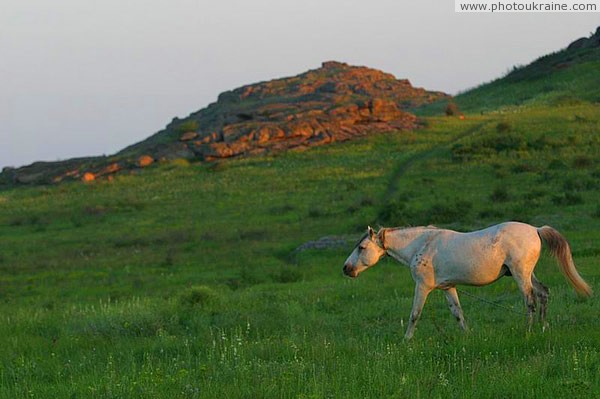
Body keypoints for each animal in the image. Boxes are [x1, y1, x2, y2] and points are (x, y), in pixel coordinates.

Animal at [344, 223, 592, 340]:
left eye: (362, 247)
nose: (346, 269)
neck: (421, 244)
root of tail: (536, 230)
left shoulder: (423, 287)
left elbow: (415, 314)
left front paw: (406, 340)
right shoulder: (448, 287)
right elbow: (457, 313)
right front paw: (467, 336)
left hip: (521, 274)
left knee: (530, 299)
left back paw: (528, 331)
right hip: (528, 273)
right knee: (543, 293)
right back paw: (543, 327)